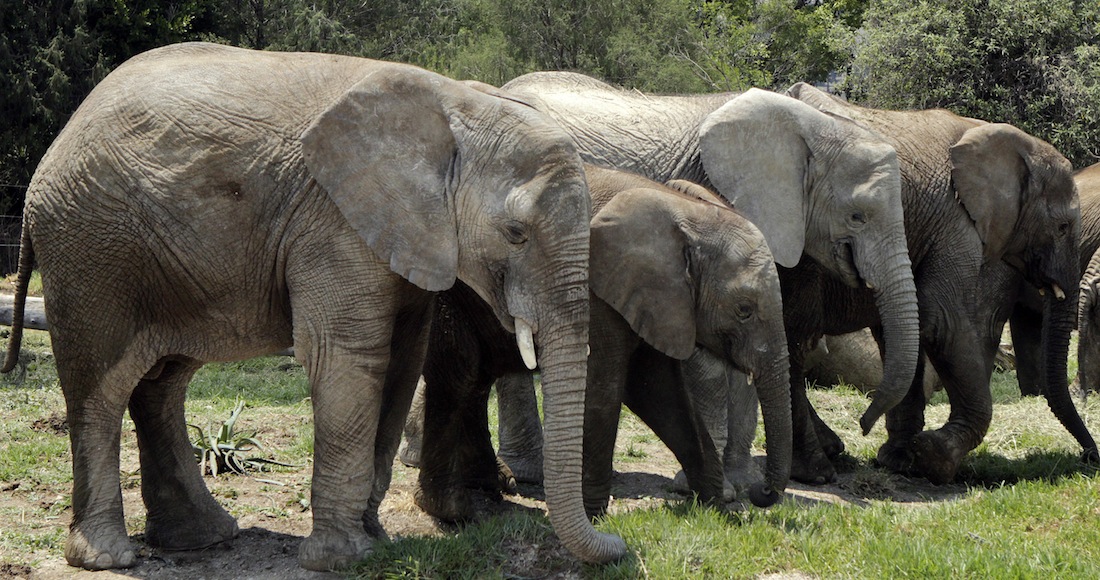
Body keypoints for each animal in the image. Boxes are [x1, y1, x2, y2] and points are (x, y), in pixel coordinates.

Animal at [0, 44, 624, 572]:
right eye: (516, 233)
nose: (617, 539)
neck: (458, 106)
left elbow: (401, 360)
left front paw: (375, 541)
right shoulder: (335, 222)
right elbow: (349, 355)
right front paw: (344, 559)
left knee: (161, 383)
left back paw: (204, 539)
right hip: (92, 250)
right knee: (99, 390)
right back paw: (107, 558)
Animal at [404, 165, 792, 521]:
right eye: (744, 310)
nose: (760, 494)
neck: (681, 209)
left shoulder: (655, 300)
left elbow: (658, 391)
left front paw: (719, 508)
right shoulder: (593, 289)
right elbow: (604, 387)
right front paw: (593, 517)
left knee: (476, 379)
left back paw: (495, 484)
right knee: (460, 374)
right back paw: (454, 508)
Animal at [499, 71, 919, 486]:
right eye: (857, 216)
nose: (864, 426)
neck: (809, 124)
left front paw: (739, 481)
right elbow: (712, 357)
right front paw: (707, 482)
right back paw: (528, 474)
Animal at [783, 80, 1100, 482]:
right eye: (1061, 227)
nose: (1091, 456)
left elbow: (911, 326)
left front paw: (899, 461)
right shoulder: (956, 218)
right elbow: (941, 320)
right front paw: (933, 458)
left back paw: (830, 451)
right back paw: (819, 463)